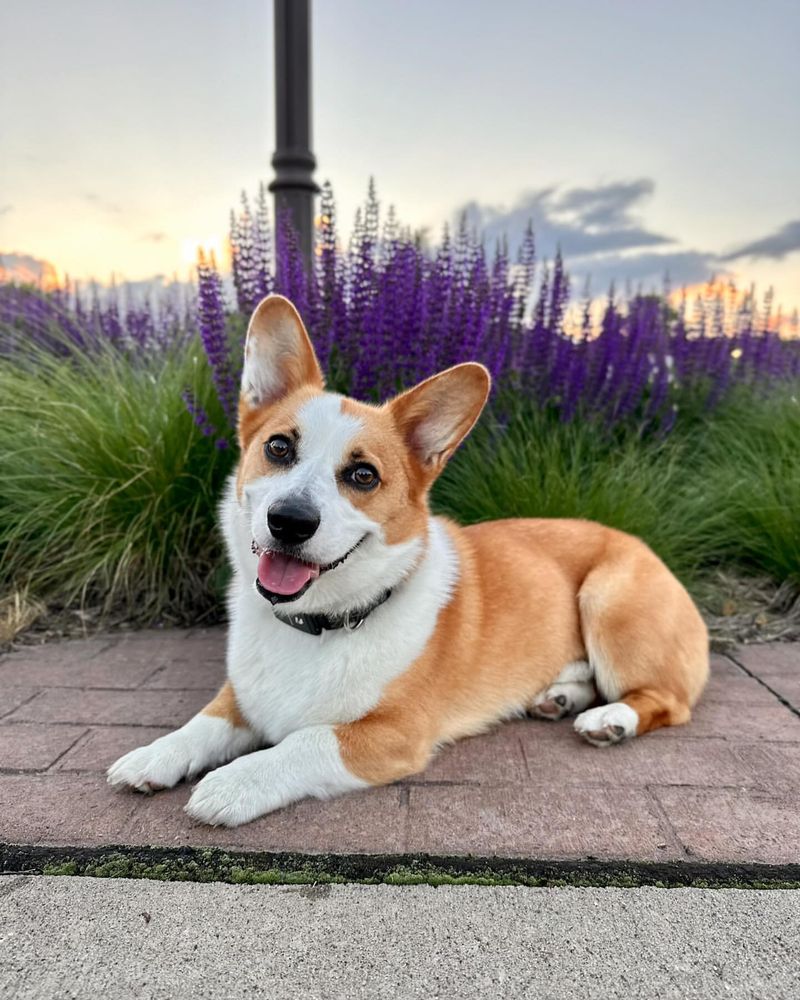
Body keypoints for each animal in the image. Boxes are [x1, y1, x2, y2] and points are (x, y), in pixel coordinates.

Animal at [108, 292, 712, 824]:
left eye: (362, 475)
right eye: (278, 447)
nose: (290, 521)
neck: (319, 624)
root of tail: (638, 541)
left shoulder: (391, 734)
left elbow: (302, 742)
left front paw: (233, 783)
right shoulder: (241, 698)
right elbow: (203, 723)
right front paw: (153, 756)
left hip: (607, 599)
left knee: (668, 701)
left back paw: (610, 718)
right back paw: (559, 698)